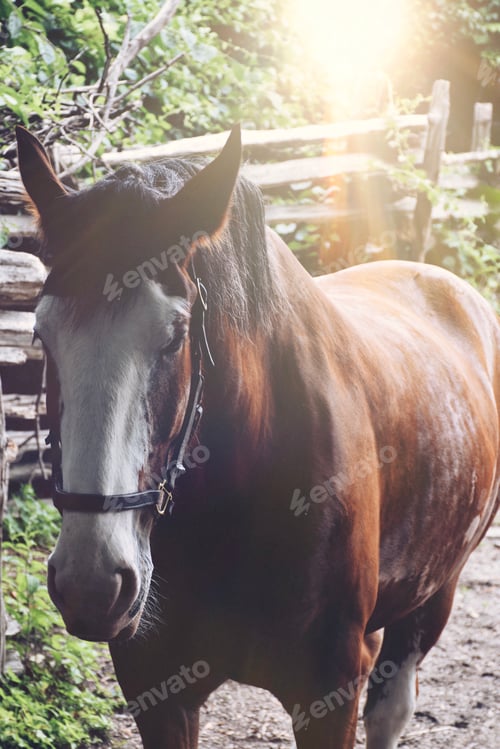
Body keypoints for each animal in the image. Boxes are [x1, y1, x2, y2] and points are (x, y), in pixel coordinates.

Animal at [16, 123, 499, 749]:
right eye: (42, 335)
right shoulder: (158, 691)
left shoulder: (328, 694)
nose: (91, 583)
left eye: (175, 335)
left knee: (391, 708)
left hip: (433, 596)